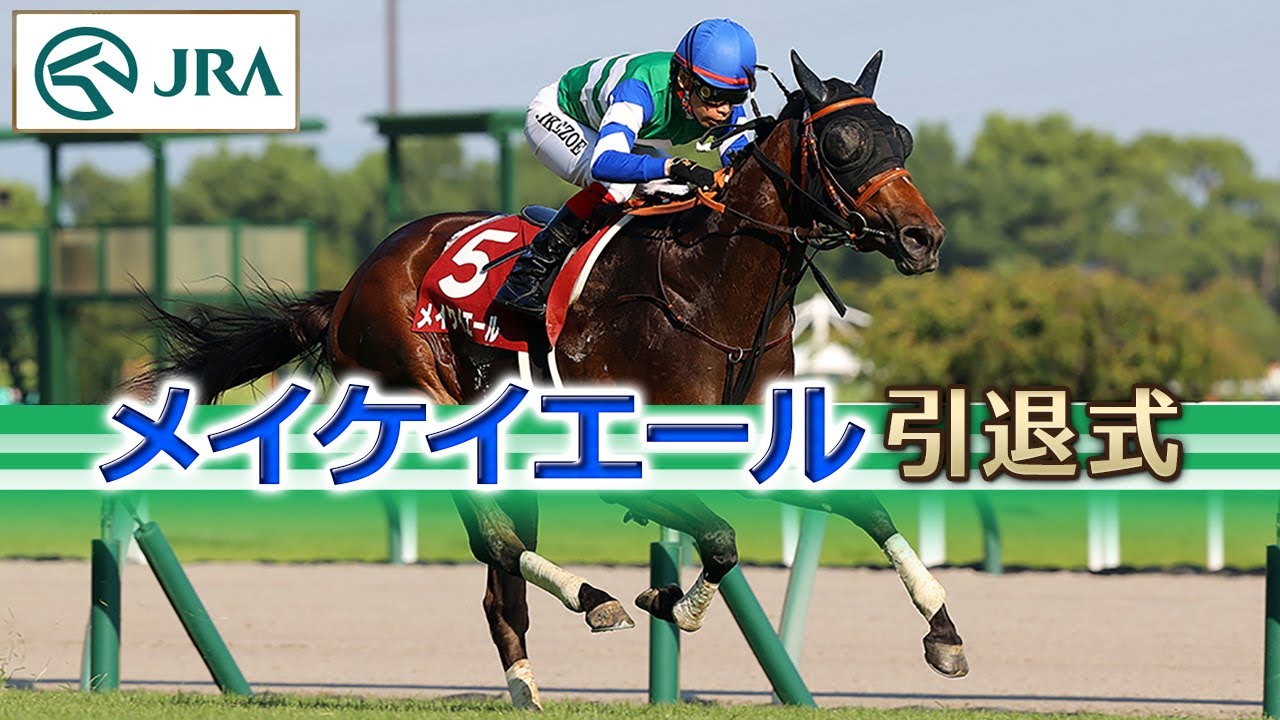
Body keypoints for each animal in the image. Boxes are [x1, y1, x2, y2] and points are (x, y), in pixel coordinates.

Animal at [134, 50, 965, 709]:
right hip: (424, 398)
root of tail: (349, 289)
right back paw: (591, 599)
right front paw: (672, 602)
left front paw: (943, 626)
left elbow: (864, 508)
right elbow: (723, 540)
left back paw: (529, 684)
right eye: (844, 143)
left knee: (497, 568)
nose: (923, 237)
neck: (709, 288)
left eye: (902, 137)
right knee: (498, 540)